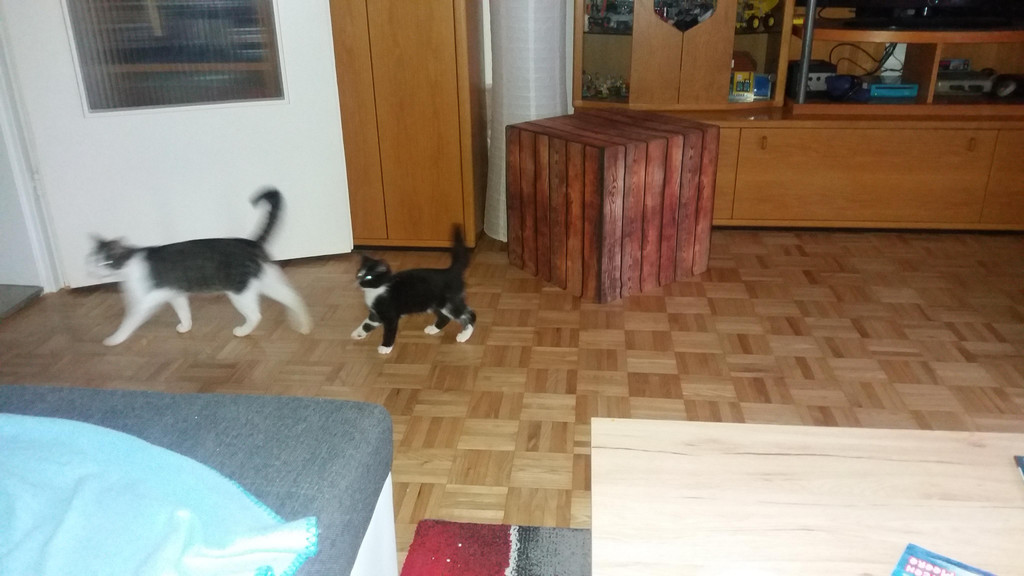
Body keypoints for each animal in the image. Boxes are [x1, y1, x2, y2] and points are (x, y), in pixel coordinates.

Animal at [90, 188, 312, 346]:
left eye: (107, 262)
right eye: (92, 259)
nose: (94, 270)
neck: (130, 265)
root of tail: (251, 242)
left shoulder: (148, 298)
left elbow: (129, 321)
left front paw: (115, 339)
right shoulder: (175, 293)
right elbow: (184, 311)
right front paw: (186, 326)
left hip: (239, 292)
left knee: (256, 315)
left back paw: (243, 331)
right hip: (265, 281)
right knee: (292, 296)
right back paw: (304, 325)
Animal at [352, 226, 476, 355]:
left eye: (368, 277)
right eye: (360, 274)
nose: (359, 282)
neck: (376, 290)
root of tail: (450, 271)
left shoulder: (390, 315)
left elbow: (389, 331)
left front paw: (385, 347)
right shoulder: (376, 314)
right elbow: (367, 323)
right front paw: (357, 333)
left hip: (448, 303)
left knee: (470, 314)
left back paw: (464, 335)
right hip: (434, 303)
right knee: (446, 317)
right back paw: (433, 329)